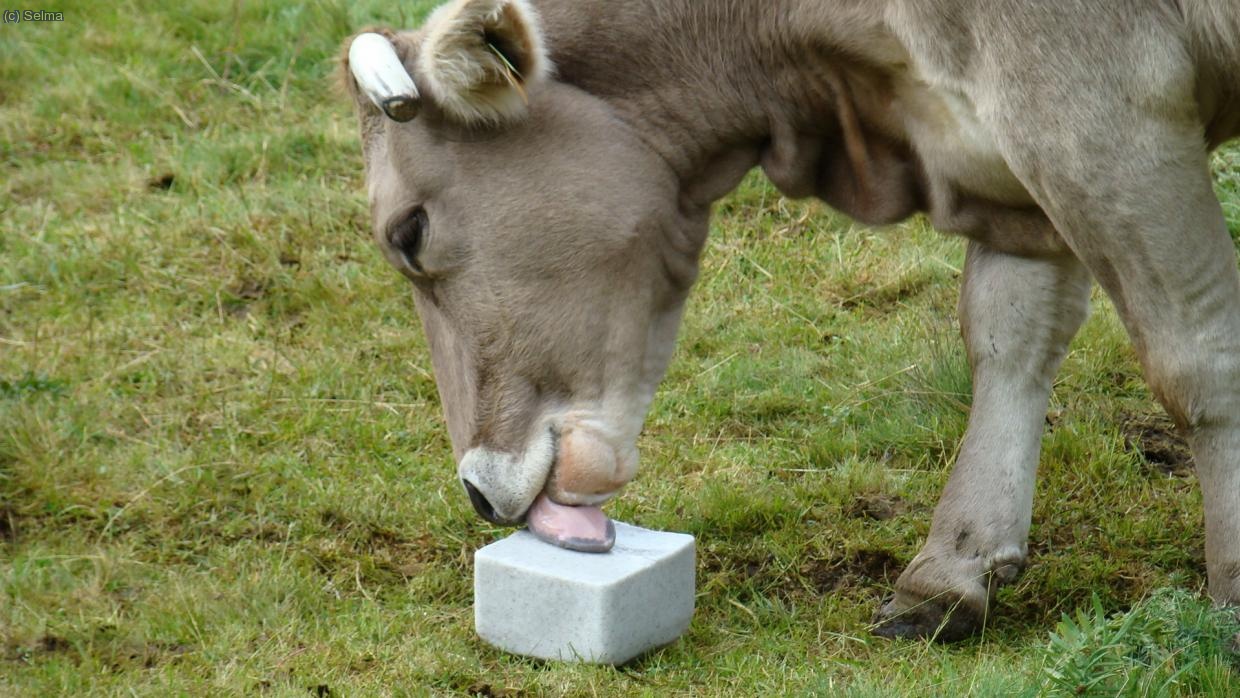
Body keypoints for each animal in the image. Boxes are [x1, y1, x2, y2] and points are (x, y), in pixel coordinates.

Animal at [339, 0, 1240, 640]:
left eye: (408, 234)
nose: (477, 490)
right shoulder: (1016, 155)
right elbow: (1011, 334)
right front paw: (953, 568)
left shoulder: (1095, 113)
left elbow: (1197, 358)